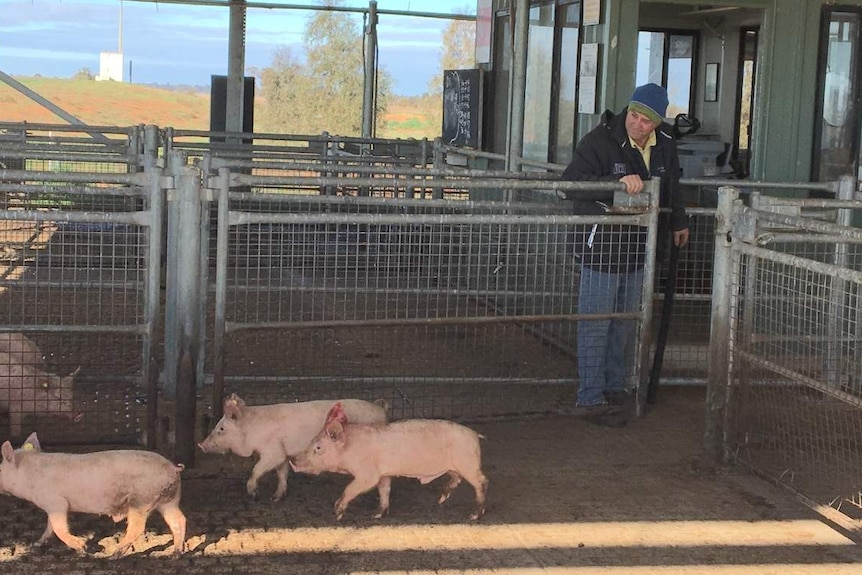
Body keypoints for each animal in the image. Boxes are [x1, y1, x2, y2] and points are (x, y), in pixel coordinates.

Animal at [0, 434, 187, 560]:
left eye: (0, 468)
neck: (28, 475)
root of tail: (173, 468)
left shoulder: (56, 503)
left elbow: (59, 528)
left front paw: (82, 549)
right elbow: (50, 526)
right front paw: (36, 543)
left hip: (141, 500)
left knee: (137, 527)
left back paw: (114, 555)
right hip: (169, 500)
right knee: (178, 520)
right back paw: (175, 554)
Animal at [199, 394, 388, 502]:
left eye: (221, 429)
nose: (201, 444)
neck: (251, 429)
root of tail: (380, 408)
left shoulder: (273, 451)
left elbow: (257, 469)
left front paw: (254, 494)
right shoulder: (283, 454)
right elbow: (282, 473)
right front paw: (275, 498)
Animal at [290, 404, 490, 520]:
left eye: (318, 447)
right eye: (311, 441)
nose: (292, 459)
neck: (351, 448)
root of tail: (475, 435)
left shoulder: (367, 473)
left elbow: (352, 487)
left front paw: (336, 512)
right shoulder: (384, 473)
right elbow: (384, 490)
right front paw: (376, 514)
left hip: (468, 461)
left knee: (481, 481)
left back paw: (474, 515)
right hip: (456, 465)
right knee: (456, 478)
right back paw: (441, 498)